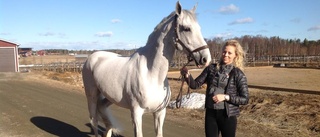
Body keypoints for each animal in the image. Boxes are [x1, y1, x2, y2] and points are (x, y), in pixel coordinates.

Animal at [82, 1, 211, 136]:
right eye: (186, 28)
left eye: (199, 28)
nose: (206, 59)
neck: (152, 74)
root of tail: (92, 57)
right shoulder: (136, 114)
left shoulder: (160, 113)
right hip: (91, 96)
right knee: (94, 121)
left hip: (109, 97)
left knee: (103, 112)